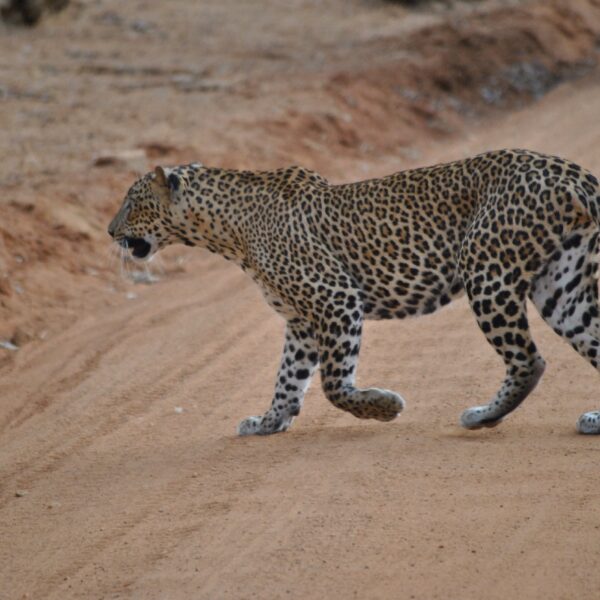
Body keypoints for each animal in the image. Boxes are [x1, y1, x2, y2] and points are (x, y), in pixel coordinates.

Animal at [108, 148, 600, 434]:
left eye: (132, 203)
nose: (110, 231)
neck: (226, 230)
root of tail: (571, 171)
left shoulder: (335, 297)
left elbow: (332, 384)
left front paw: (382, 407)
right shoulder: (301, 321)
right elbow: (288, 378)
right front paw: (269, 421)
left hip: (487, 272)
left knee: (528, 360)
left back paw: (484, 416)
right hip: (561, 285)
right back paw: (592, 420)